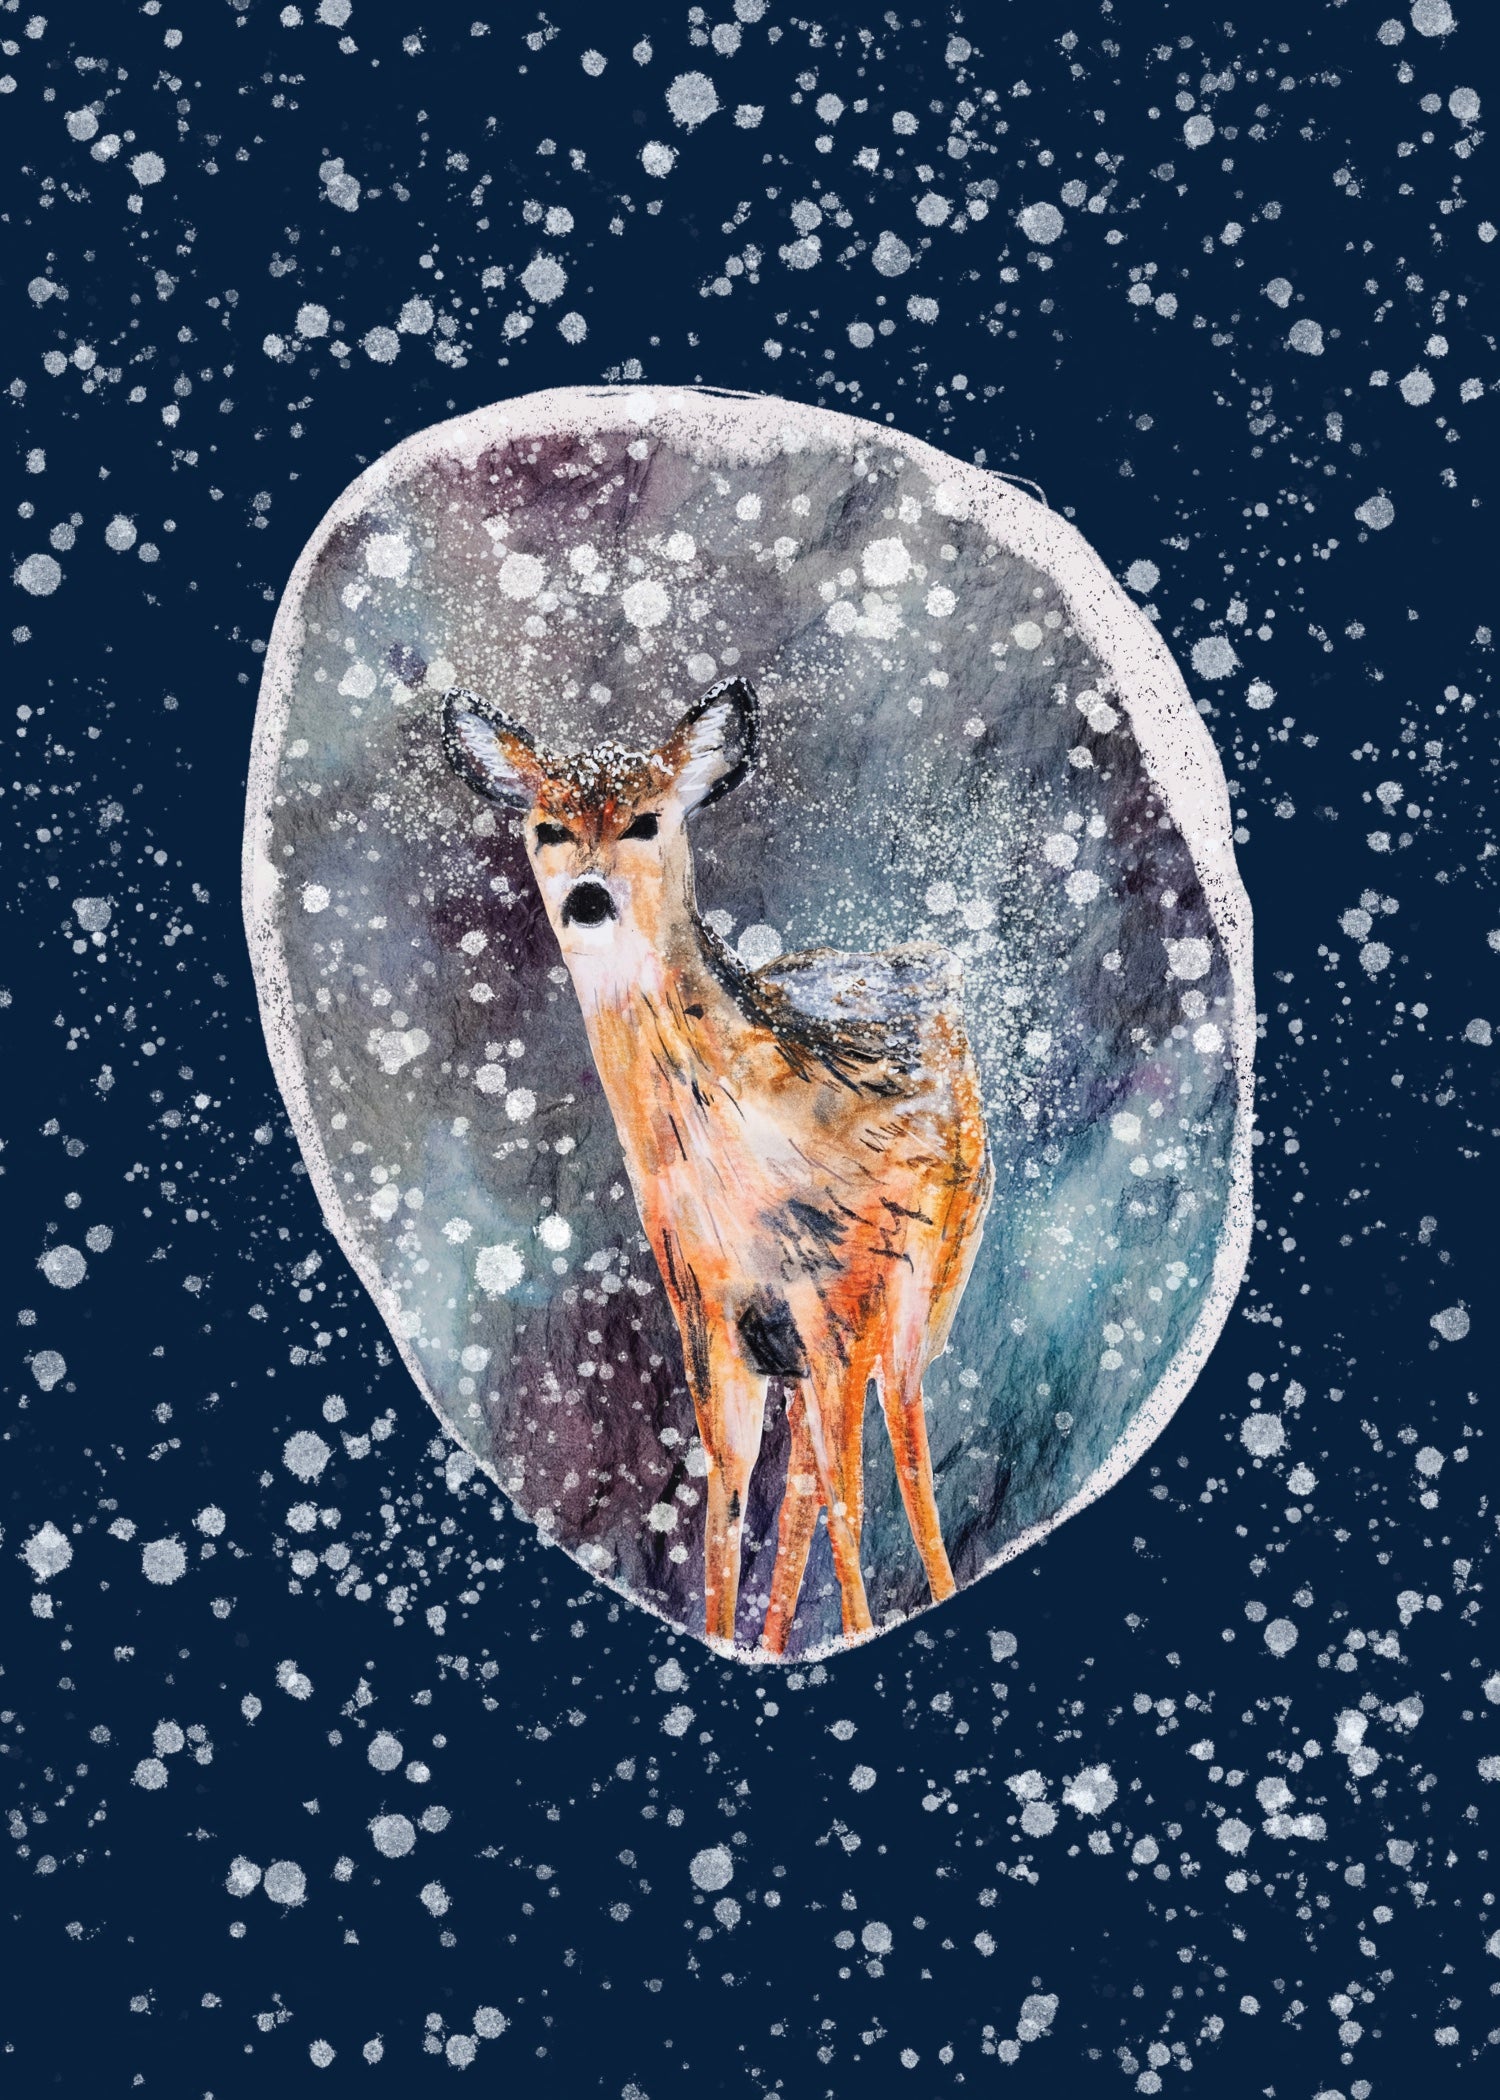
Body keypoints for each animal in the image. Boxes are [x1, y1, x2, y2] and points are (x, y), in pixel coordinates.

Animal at [441, 676, 993, 1654]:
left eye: (647, 820)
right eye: (548, 827)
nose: (589, 899)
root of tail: (931, 970)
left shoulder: (832, 1297)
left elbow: (851, 1496)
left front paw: (851, 1629)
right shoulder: (706, 1309)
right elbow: (725, 1507)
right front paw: (723, 1633)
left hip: (925, 1284)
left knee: (900, 1454)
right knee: (807, 1480)